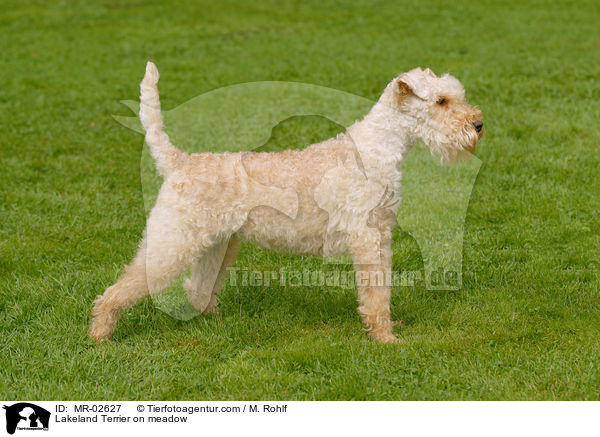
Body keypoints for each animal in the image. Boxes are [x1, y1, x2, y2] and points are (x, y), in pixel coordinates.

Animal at [89, 61, 482, 342]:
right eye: (441, 101)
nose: (478, 125)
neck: (378, 149)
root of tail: (178, 162)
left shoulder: (381, 236)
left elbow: (381, 290)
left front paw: (388, 327)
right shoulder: (367, 238)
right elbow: (375, 295)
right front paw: (386, 339)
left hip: (217, 244)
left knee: (197, 289)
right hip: (173, 242)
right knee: (117, 290)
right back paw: (99, 336)